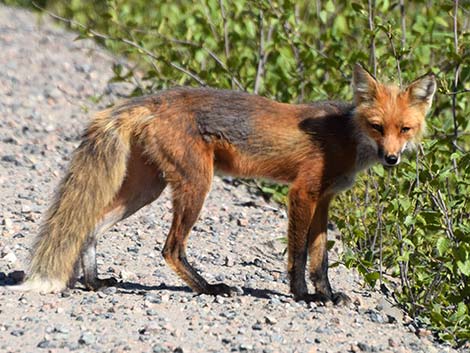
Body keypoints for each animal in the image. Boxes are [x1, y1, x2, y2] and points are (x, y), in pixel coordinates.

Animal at [11, 64, 436, 302]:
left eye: (404, 129)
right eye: (377, 126)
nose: (392, 158)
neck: (346, 136)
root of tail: (151, 101)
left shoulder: (325, 199)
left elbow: (320, 259)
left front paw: (328, 296)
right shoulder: (302, 192)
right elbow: (299, 255)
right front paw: (302, 297)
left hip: (147, 190)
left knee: (91, 225)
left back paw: (94, 281)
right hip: (196, 186)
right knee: (170, 249)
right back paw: (208, 288)